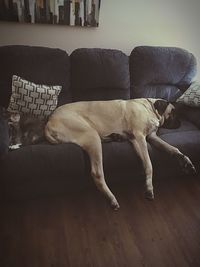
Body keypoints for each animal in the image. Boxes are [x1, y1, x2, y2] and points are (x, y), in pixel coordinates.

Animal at [45, 98, 195, 211]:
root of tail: (48, 123)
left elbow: (173, 149)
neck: (150, 108)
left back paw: (115, 137)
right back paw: (111, 198)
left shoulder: (148, 137)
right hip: (91, 135)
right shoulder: (140, 137)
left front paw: (186, 162)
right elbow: (149, 165)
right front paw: (149, 188)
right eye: (173, 113)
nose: (180, 123)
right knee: (97, 173)